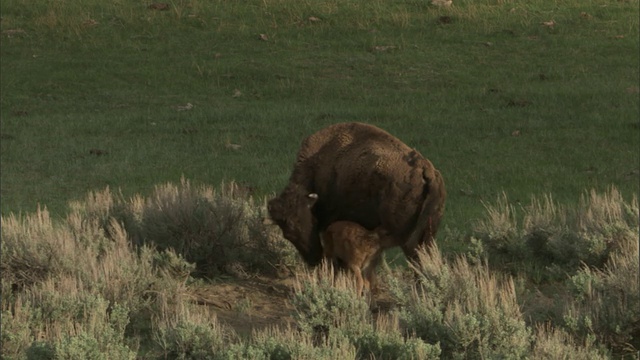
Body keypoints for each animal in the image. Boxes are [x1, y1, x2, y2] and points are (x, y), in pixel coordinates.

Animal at [266, 122, 444, 266]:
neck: (316, 165)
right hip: (427, 235)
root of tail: (425, 169)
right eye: (288, 234)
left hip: (408, 239)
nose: (314, 258)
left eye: (313, 222)